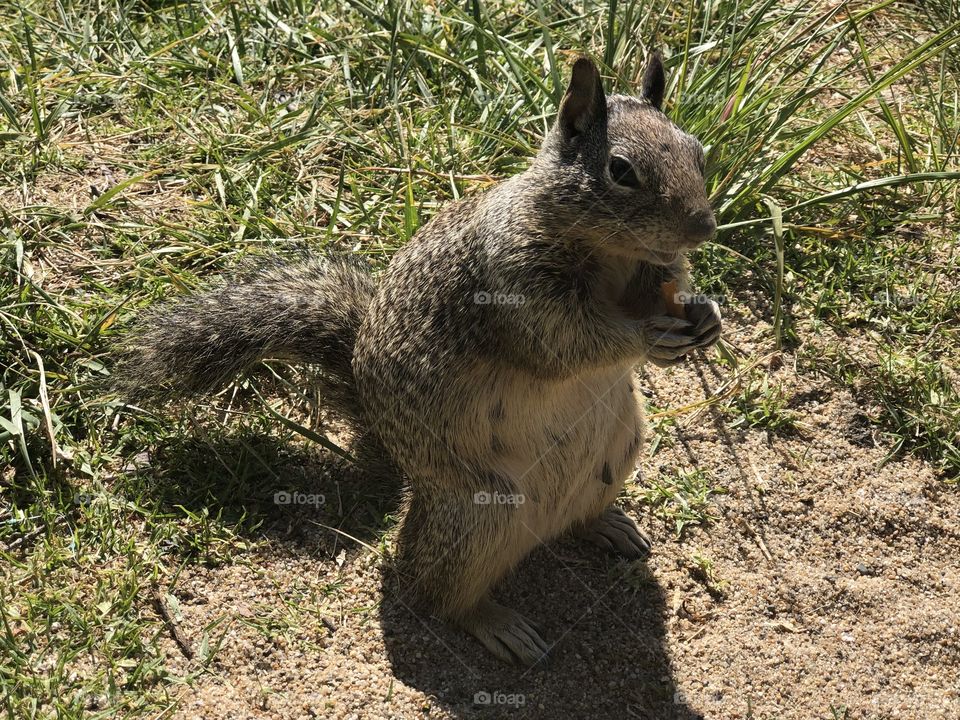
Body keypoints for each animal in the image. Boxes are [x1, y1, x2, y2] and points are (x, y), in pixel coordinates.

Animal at [116, 54, 721, 666]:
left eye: (698, 150)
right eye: (620, 170)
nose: (703, 227)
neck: (614, 257)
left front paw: (707, 316)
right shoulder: (515, 286)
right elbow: (568, 342)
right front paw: (648, 335)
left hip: (616, 454)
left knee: (578, 517)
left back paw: (609, 526)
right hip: (480, 511)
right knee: (434, 591)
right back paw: (497, 623)